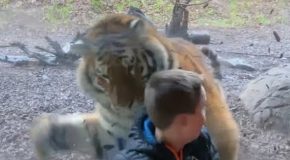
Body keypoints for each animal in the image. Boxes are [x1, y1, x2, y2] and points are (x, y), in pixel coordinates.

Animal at [30, 14, 240, 160]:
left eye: (131, 68)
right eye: (104, 76)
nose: (124, 105)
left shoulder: (219, 131)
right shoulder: (112, 133)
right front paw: (43, 137)